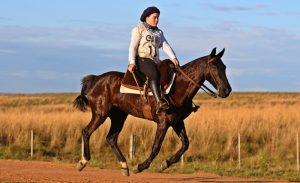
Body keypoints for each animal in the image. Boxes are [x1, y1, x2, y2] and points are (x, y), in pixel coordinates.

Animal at [73, 47, 232, 176]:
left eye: (224, 67)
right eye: (214, 66)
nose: (226, 90)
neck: (177, 88)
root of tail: (95, 80)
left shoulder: (177, 121)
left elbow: (185, 144)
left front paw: (165, 164)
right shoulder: (163, 122)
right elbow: (156, 147)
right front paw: (141, 166)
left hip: (119, 116)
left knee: (111, 138)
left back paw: (124, 166)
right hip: (100, 114)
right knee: (87, 131)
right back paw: (83, 161)